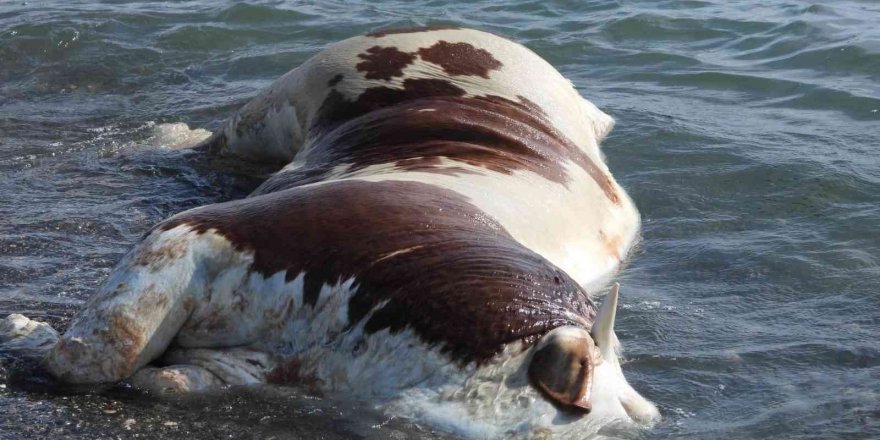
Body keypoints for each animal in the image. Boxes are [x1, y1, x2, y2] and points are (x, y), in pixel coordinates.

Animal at [0, 27, 656, 436]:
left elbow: (163, 379)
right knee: (221, 140)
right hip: (300, 89)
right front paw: (22, 329)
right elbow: (97, 350)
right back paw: (158, 143)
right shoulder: (189, 237)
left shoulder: (250, 365)